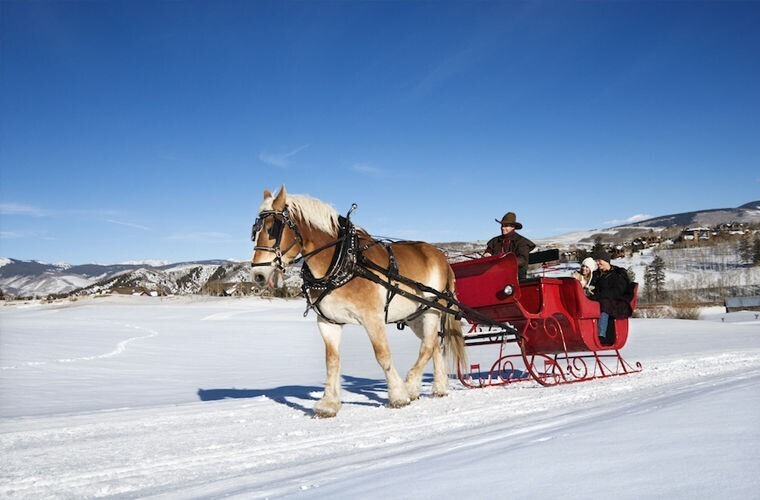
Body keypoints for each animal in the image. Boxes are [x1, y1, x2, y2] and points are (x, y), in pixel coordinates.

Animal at [251, 186, 464, 416]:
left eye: (272, 229)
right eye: (254, 231)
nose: (258, 275)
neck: (344, 260)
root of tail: (441, 257)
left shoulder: (372, 318)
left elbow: (383, 355)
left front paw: (398, 395)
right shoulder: (328, 322)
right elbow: (332, 361)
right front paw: (329, 403)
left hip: (433, 310)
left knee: (427, 346)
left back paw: (410, 385)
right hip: (416, 315)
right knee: (433, 344)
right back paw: (437, 387)